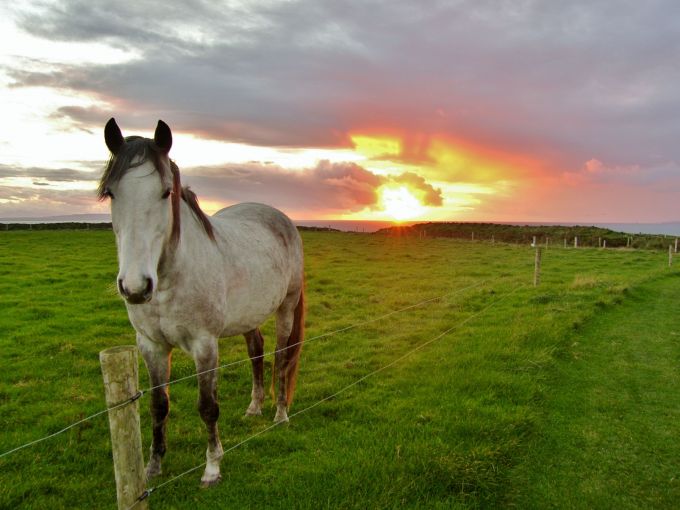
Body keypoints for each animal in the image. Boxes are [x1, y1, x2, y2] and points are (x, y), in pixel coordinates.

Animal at [99, 118, 306, 486]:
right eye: (111, 192)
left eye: (166, 192)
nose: (135, 287)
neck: (169, 281)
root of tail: (279, 217)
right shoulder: (150, 345)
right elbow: (158, 404)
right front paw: (153, 467)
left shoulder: (204, 345)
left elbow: (208, 405)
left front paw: (212, 467)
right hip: (249, 315)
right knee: (257, 351)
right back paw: (254, 407)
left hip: (285, 309)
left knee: (281, 357)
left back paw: (280, 414)